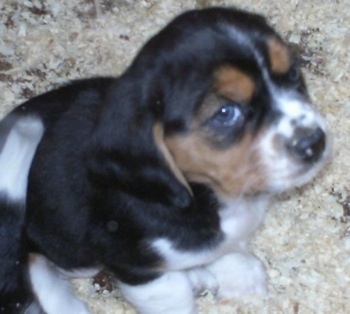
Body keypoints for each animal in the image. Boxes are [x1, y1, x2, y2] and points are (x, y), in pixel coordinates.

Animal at [0, 6, 328, 314]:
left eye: (294, 74)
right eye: (225, 113)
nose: (315, 143)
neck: (204, 193)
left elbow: (227, 247)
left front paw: (241, 276)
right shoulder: (139, 268)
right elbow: (174, 298)